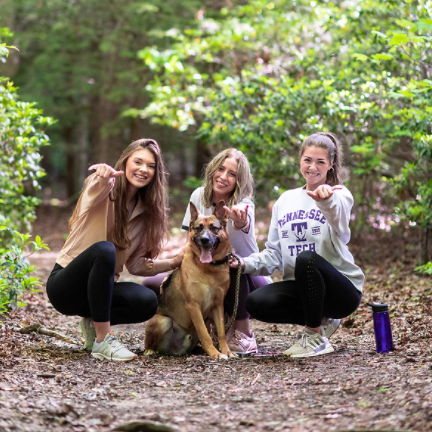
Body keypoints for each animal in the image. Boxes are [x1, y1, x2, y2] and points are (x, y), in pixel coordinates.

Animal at [144, 201, 236, 360]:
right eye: (199, 228)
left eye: (214, 228)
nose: (205, 239)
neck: (208, 268)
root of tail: (174, 350)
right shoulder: (193, 305)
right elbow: (204, 334)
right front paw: (215, 354)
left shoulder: (218, 305)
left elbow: (221, 332)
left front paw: (226, 351)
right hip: (162, 321)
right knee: (148, 345)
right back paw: (149, 351)